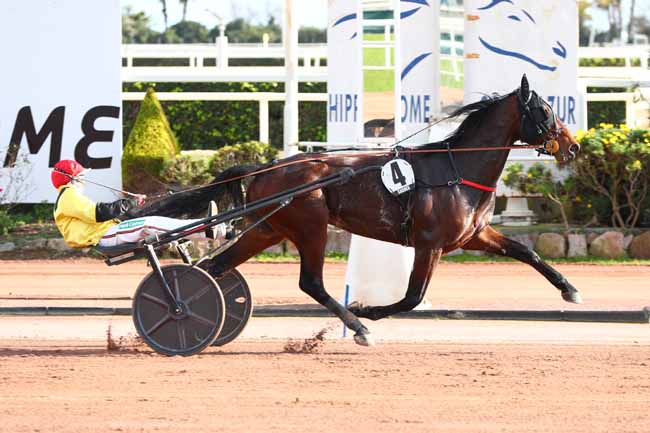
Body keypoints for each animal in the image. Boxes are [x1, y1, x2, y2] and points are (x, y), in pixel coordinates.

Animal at [149, 75, 580, 344]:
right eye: (545, 110)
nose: (573, 145)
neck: (456, 168)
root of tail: (264, 167)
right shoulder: (430, 244)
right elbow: (412, 298)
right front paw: (368, 309)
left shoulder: (473, 236)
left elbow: (527, 251)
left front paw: (569, 289)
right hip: (311, 225)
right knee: (311, 283)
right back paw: (357, 326)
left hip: (269, 229)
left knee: (213, 268)